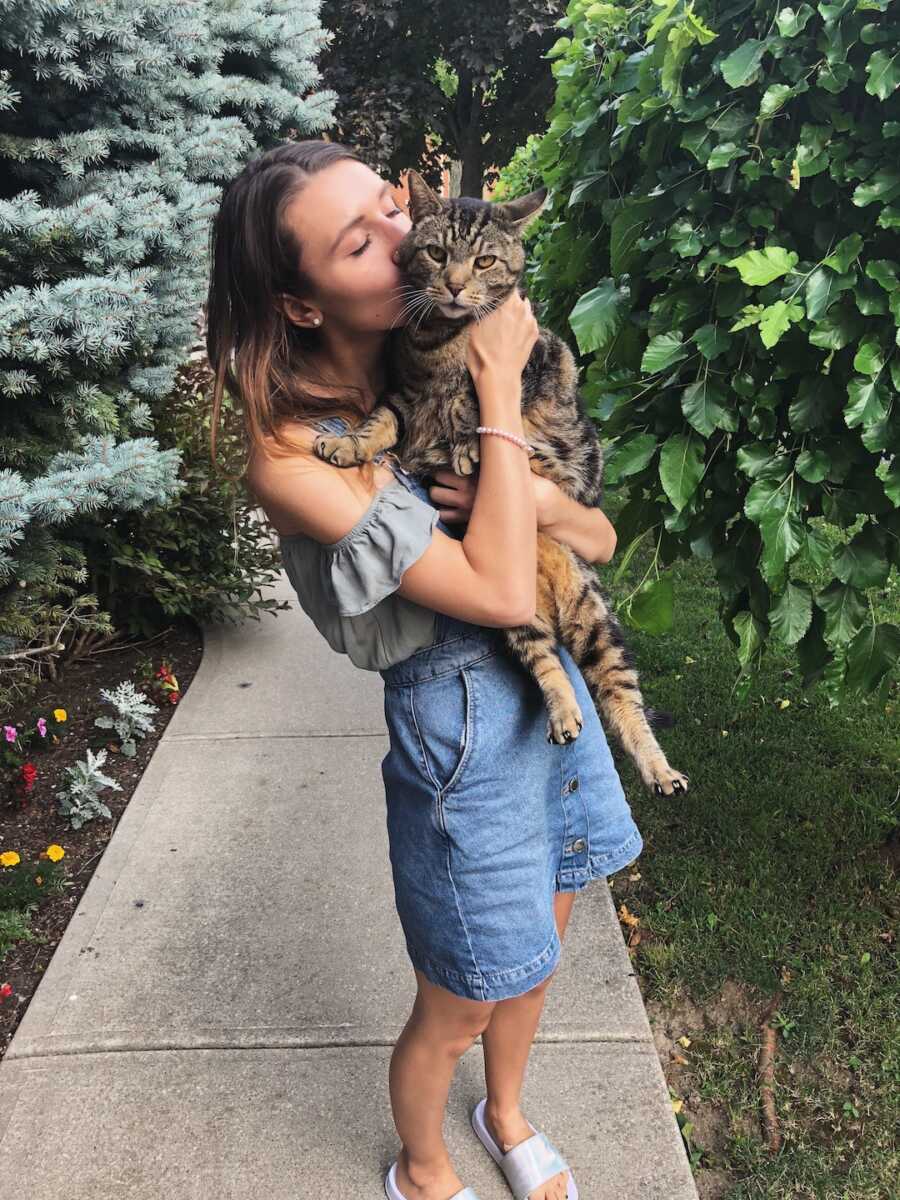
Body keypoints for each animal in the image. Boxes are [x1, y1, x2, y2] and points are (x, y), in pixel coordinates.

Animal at [316, 164, 691, 792]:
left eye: (486, 261)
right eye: (437, 253)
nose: (454, 287)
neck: (437, 344)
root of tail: (556, 603)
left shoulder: (536, 363)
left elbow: (488, 406)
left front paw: (469, 444)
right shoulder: (402, 399)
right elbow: (377, 423)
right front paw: (347, 443)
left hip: (597, 620)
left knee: (621, 695)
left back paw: (657, 765)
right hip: (519, 618)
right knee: (548, 664)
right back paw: (564, 713)